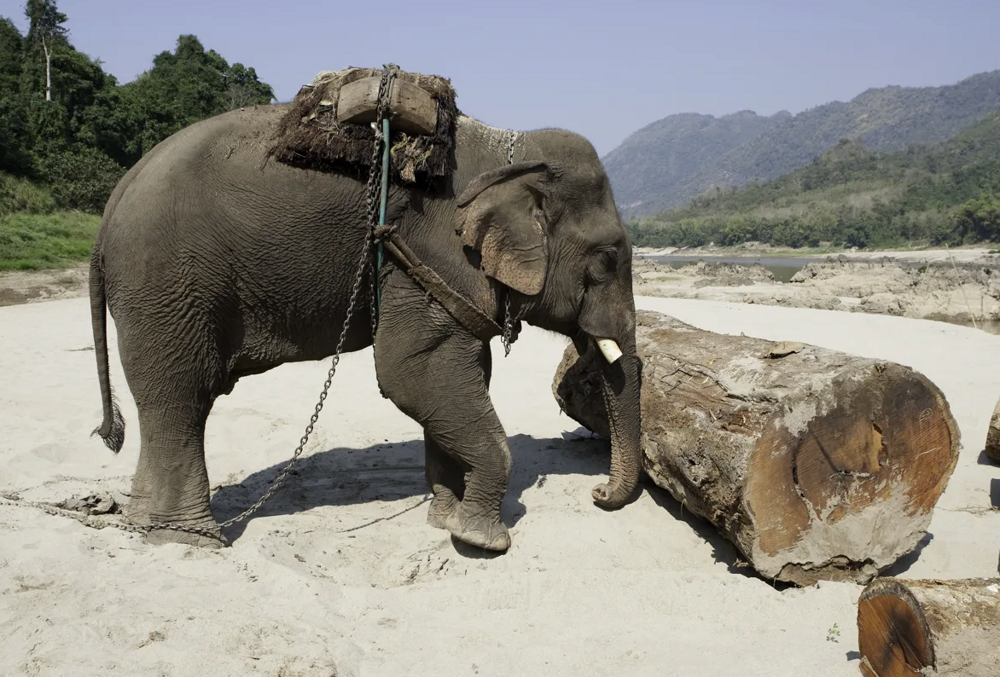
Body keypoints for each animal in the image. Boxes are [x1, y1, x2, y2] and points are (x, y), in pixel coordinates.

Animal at [88, 97, 640, 548]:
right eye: (607, 259)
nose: (597, 492)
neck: (515, 148)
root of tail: (112, 202)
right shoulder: (429, 256)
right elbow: (410, 373)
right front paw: (482, 541)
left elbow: (458, 375)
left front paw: (445, 521)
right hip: (165, 287)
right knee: (181, 397)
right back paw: (189, 540)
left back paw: (150, 528)